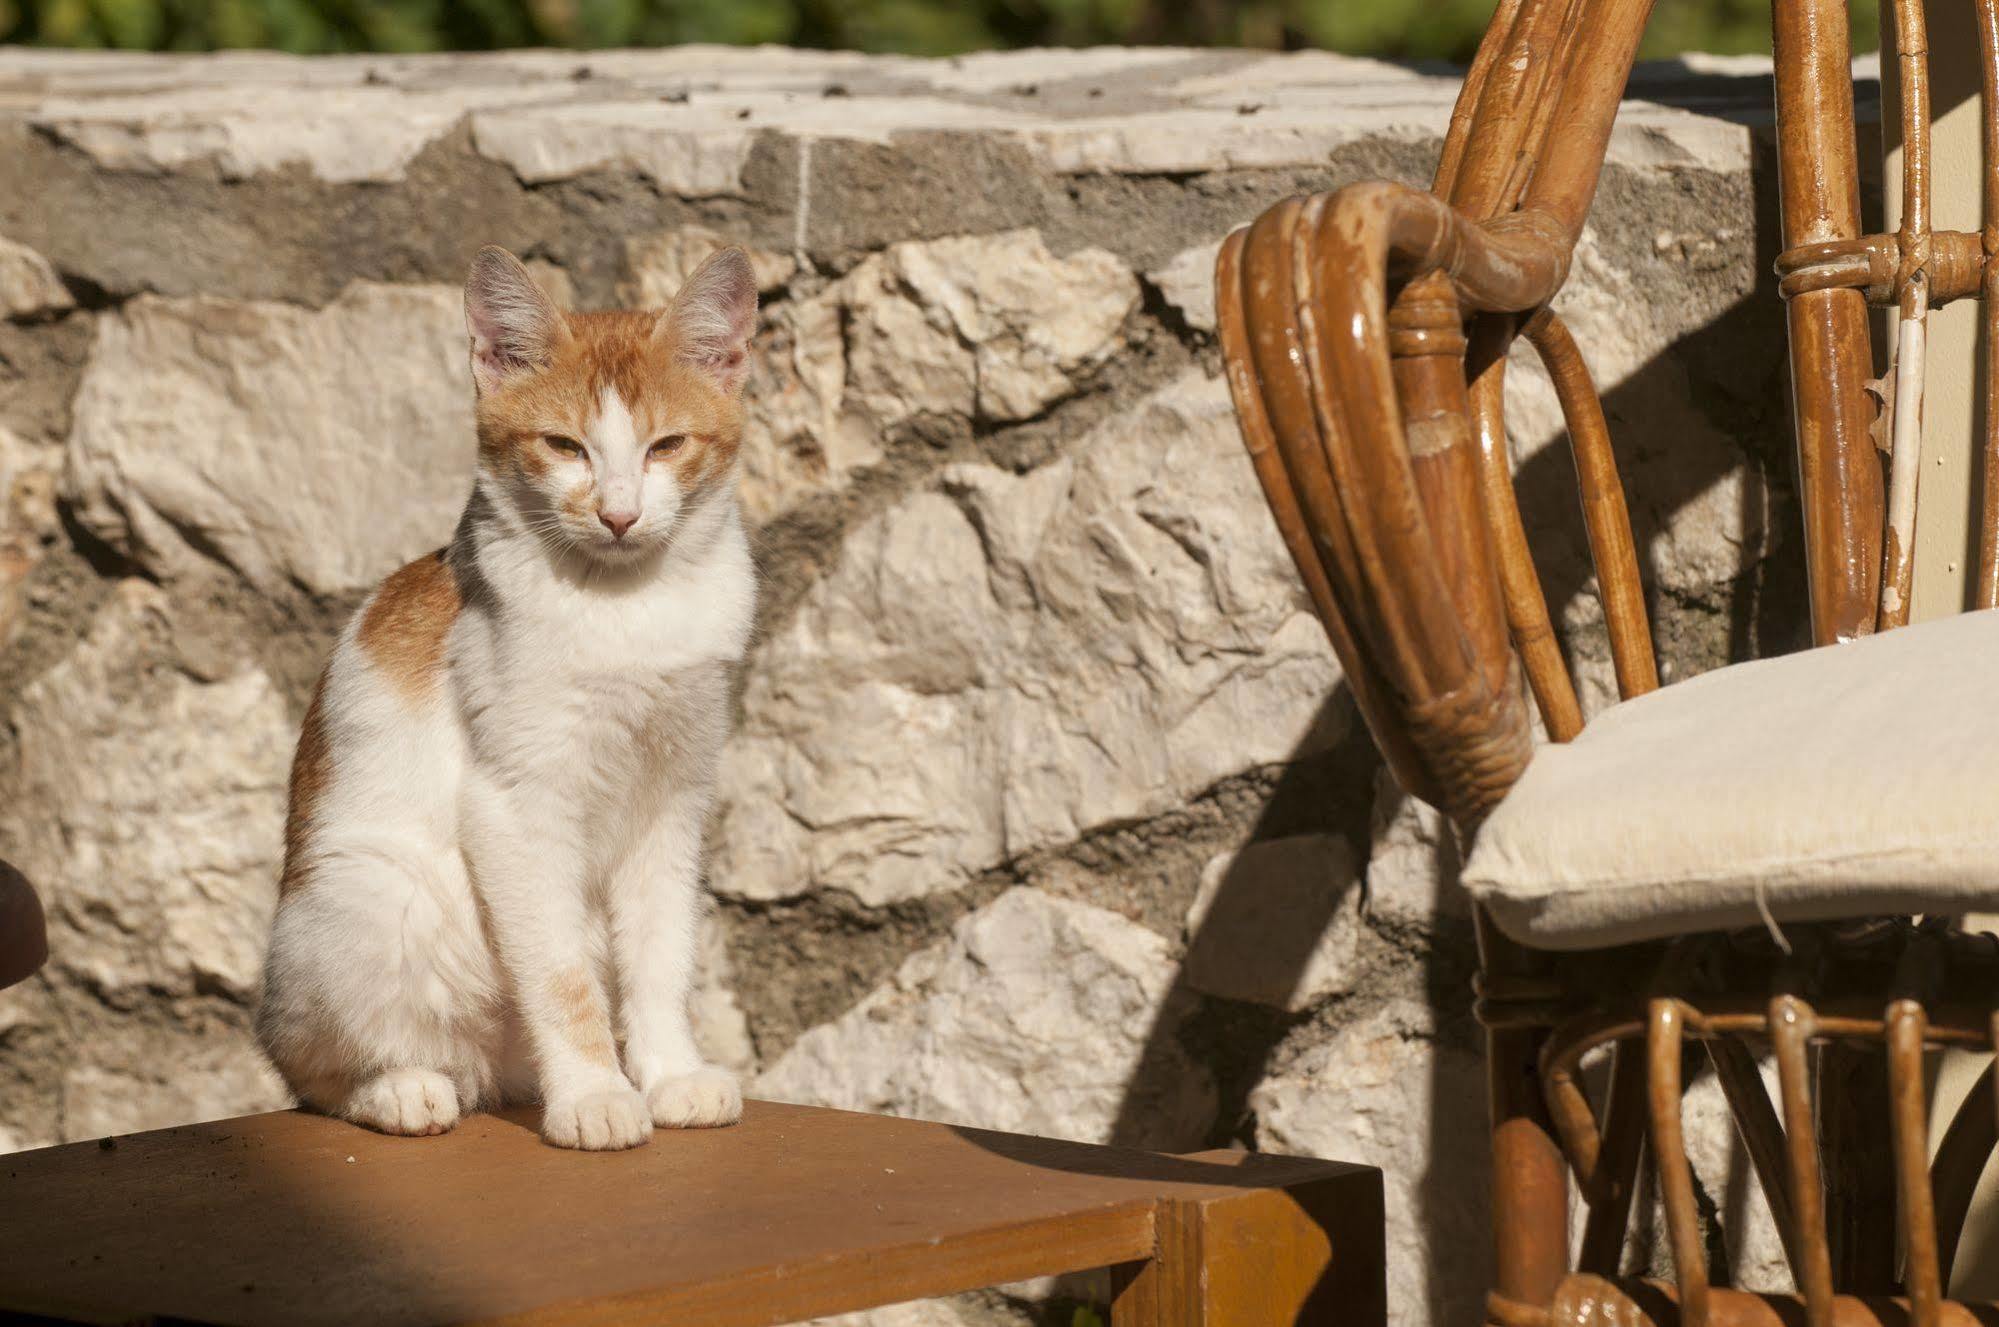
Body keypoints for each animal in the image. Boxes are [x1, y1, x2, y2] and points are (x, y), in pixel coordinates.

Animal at [261, 243, 759, 1143]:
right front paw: (595, 1094)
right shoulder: (518, 806)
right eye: (564, 446)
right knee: (307, 1067)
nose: (619, 515)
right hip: (364, 891)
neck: (627, 604)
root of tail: (489, 1076)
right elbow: (562, 978)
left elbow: (661, 955)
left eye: (666, 445)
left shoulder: (672, 801)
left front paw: (670, 1072)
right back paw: (401, 1088)